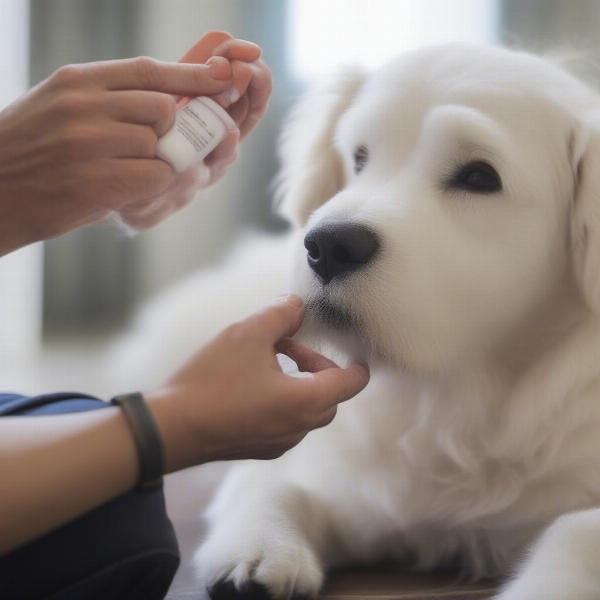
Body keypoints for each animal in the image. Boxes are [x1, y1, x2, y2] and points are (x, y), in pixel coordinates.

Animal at [118, 44, 600, 596]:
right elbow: (271, 484)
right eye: (360, 158)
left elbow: (576, 532)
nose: (329, 245)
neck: (453, 401)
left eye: (479, 177)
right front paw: (258, 553)